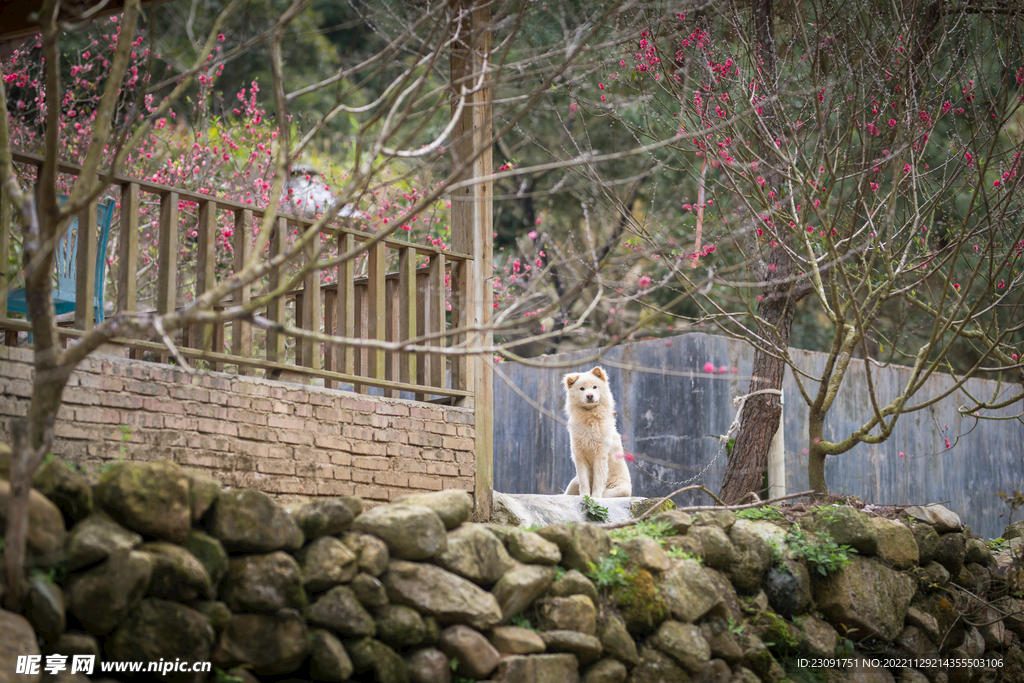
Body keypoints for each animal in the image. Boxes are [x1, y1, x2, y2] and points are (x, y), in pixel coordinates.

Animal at [561, 368, 630, 497]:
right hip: (574, 482)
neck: (589, 417)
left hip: (620, 489)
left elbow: (598, 480)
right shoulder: (580, 456)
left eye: (594, 387)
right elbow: (583, 481)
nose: (589, 395)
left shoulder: (600, 455)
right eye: (582, 388)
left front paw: (596, 497)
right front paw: (585, 496)